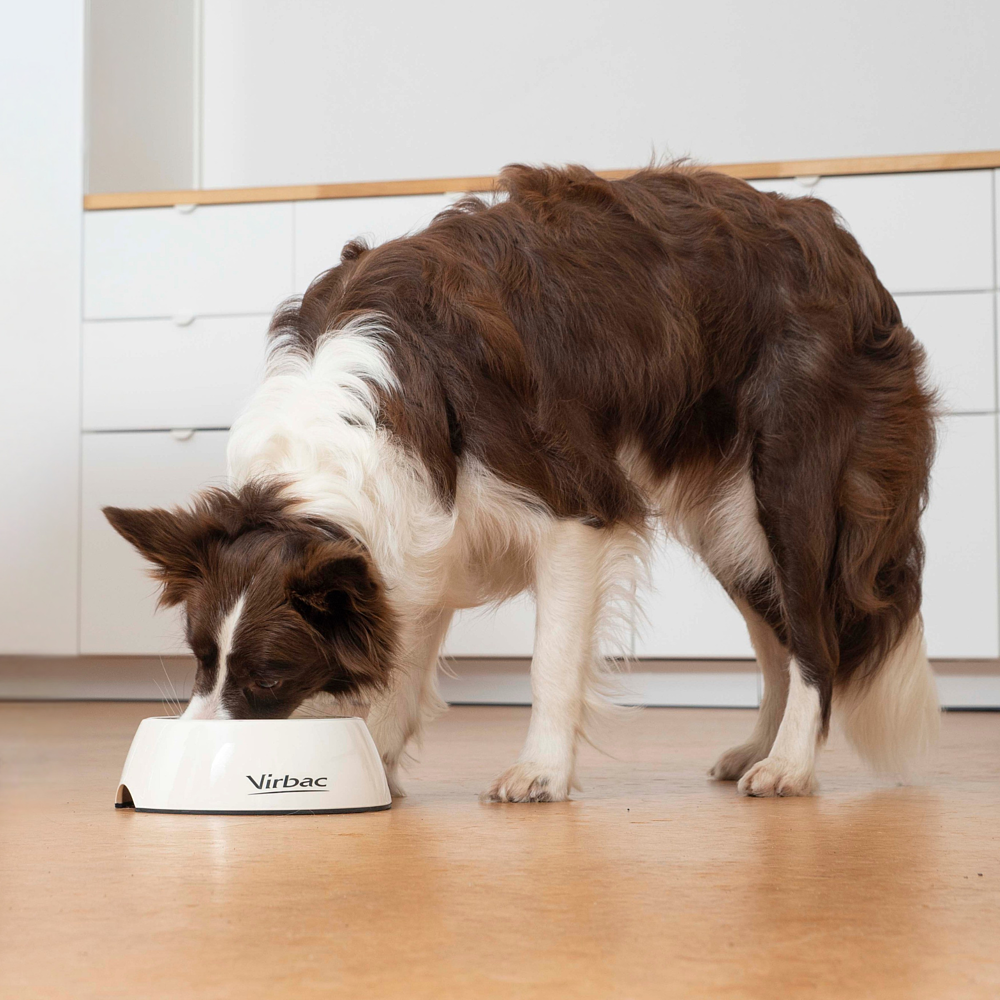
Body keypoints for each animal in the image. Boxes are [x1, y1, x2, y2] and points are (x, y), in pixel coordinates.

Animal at [105, 163, 939, 800]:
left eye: (270, 675)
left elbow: (550, 663)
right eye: (199, 659)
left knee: (814, 634)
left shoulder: (574, 509)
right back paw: (756, 749)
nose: (192, 750)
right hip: (726, 516)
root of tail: (834, 237)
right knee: (776, 634)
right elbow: (401, 657)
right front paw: (378, 762)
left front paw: (541, 772)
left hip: (791, 486)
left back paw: (789, 765)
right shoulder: (418, 539)